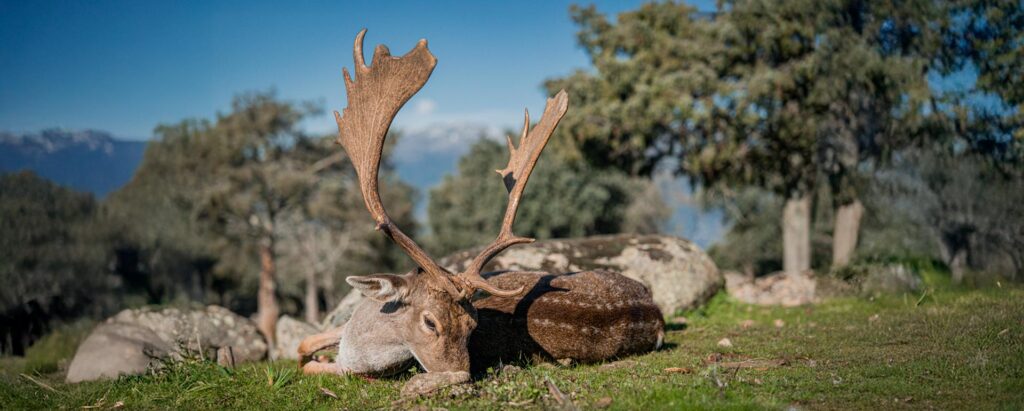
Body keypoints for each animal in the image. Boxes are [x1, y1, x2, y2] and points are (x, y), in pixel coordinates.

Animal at [297, 29, 665, 394]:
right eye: (429, 321)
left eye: (473, 325)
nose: (462, 373)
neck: (354, 348)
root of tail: (655, 314)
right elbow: (304, 345)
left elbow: (308, 360)